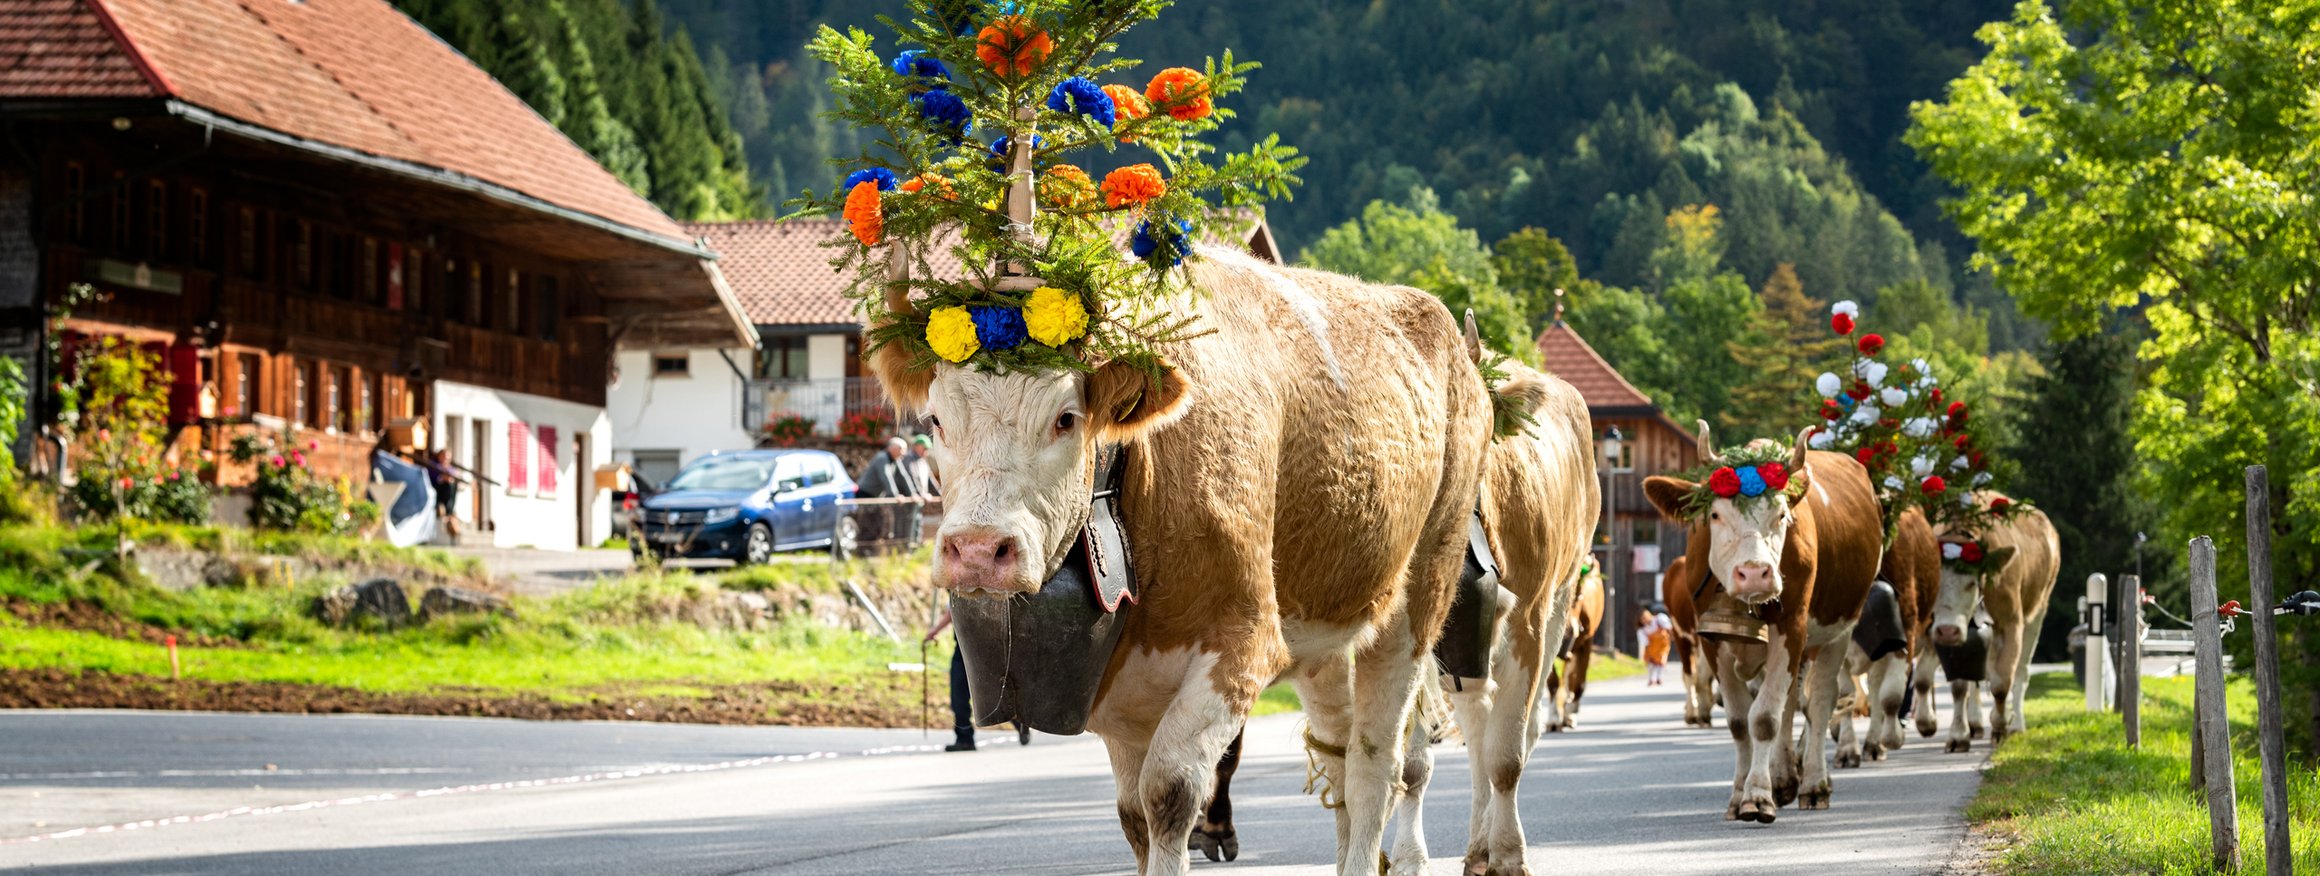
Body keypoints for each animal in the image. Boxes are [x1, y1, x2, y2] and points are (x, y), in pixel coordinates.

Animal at [872, 247, 1484, 876]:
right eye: (936, 420)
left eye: (1066, 418)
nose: (976, 549)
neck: (1137, 479)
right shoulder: (1120, 692)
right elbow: (1134, 818)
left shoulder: (1242, 647)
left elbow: (1169, 793)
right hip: (1326, 634)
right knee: (1338, 755)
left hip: (1418, 601)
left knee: (1377, 766)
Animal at [1911, 495, 2060, 750]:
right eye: (1935, 581)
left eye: (1971, 583)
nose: (1948, 631)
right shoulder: (1938, 628)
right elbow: (1940, 682)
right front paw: (1948, 731)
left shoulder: (2011, 623)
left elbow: (2002, 682)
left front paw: (2000, 726)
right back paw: (1975, 723)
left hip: (2038, 611)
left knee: (2021, 672)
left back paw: (2016, 724)